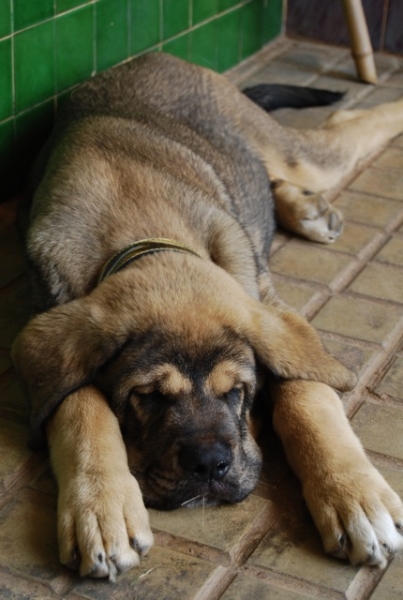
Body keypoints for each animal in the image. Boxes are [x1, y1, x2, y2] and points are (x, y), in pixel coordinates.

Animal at [11, 54, 403, 580]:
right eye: (147, 396)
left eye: (237, 391)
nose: (210, 466)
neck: (142, 225)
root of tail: (154, 56)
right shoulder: (53, 310)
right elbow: (78, 405)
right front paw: (103, 509)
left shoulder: (269, 307)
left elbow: (307, 395)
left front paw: (356, 497)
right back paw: (302, 207)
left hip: (301, 155)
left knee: (343, 126)